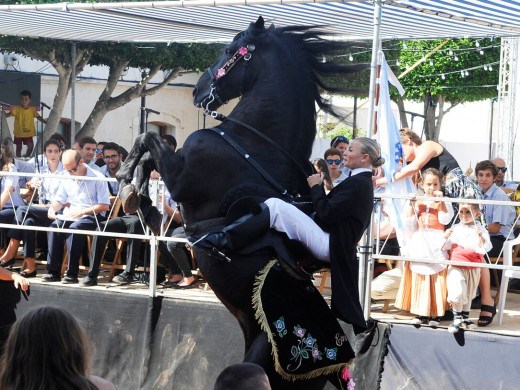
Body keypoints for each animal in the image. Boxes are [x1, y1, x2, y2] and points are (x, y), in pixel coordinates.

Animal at [116, 16, 364, 388]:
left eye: (230, 49)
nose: (198, 90)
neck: (250, 142)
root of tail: (335, 365)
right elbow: (149, 153)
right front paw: (138, 198)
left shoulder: (181, 177)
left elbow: (148, 140)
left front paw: (126, 178)